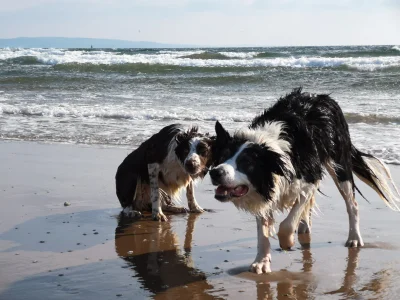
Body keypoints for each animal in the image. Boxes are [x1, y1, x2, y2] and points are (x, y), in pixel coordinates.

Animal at [211, 88, 398, 274]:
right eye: (223, 156)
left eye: (246, 162)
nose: (215, 172)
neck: (271, 148)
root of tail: (324, 97)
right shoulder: (266, 191)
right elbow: (263, 229)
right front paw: (262, 261)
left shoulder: (310, 178)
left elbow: (288, 222)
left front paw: (287, 242)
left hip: (339, 163)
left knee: (352, 204)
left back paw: (354, 238)